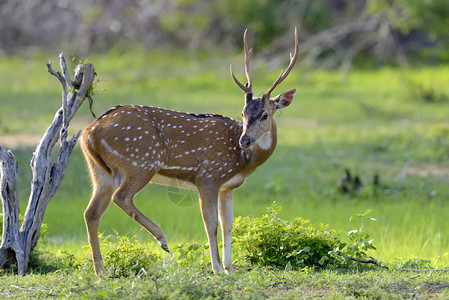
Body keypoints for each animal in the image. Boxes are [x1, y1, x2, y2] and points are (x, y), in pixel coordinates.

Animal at [80, 28, 298, 274]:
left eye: (264, 115)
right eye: (243, 113)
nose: (245, 140)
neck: (243, 161)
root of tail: (88, 132)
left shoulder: (228, 187)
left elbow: (228, 224)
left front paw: (229, 268)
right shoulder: (209, 177)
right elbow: (211, 223)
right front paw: (217, 268)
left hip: (101, 171)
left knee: (91, 213)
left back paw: (101, 272)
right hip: (141, 163)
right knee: (121, 197)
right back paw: (162, 240)